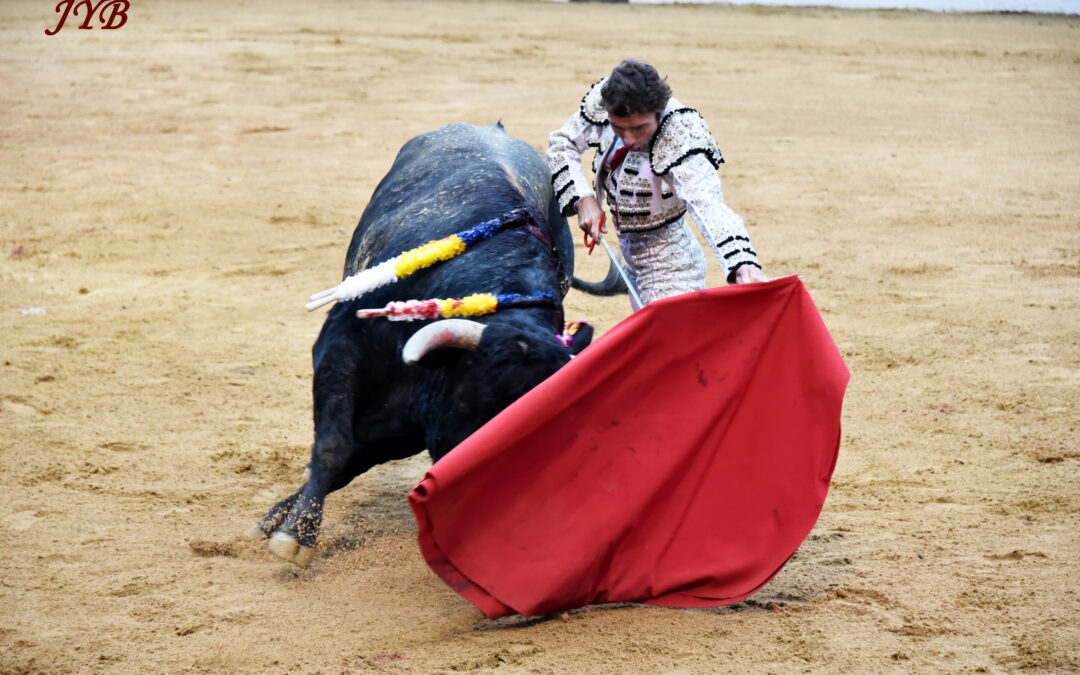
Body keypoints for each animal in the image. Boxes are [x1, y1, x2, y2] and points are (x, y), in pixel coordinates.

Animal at [247, 123, 613, 565]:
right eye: (484, 399)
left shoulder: (409, 422)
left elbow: (351, 459)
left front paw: (281, 519)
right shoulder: (339, 346)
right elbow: (335, 446)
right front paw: (293, 533)